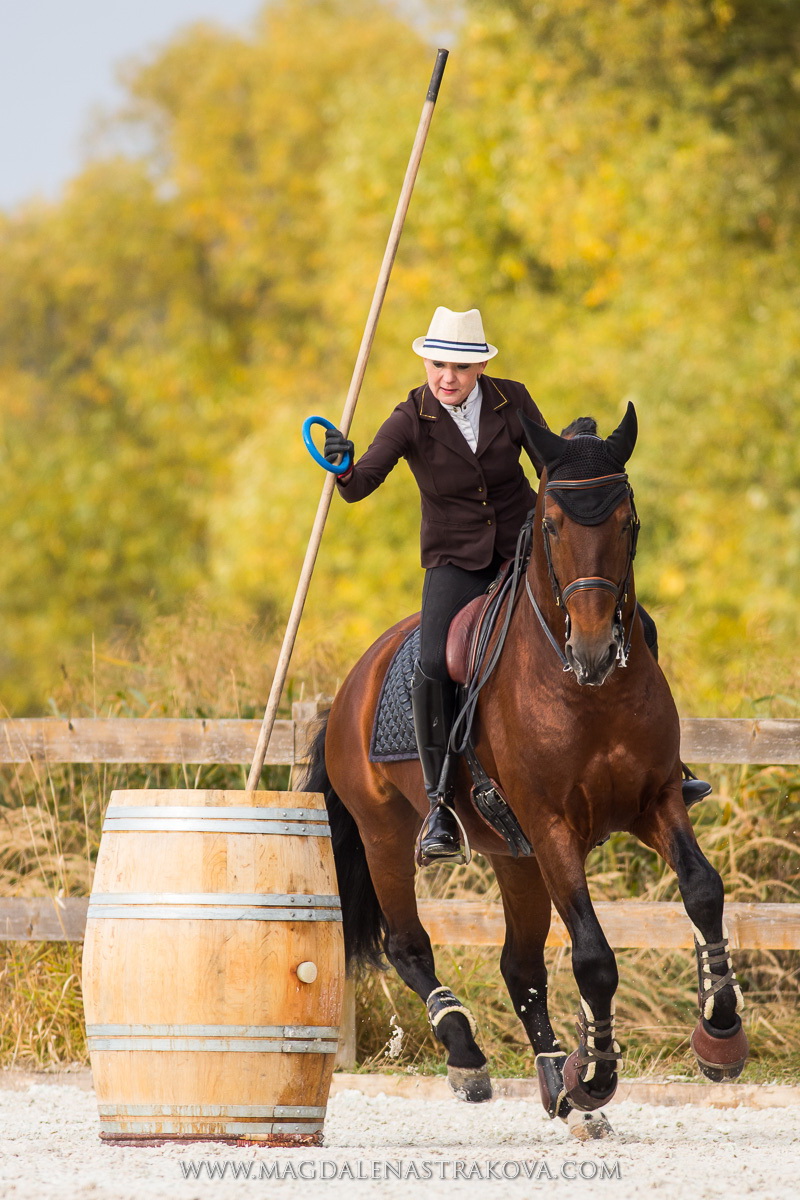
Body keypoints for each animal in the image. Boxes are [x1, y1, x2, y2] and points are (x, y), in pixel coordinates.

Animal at [303, 405, 748, 1132]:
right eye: (551, 524)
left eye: (628, 520)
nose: (593, 648)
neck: (588, 692)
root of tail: (352, 685)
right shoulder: (552, 825)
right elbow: (593, 955)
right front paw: (597, 1074)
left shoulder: (656, 801)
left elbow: (703, 890)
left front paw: (721, 1035)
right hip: (387, 834)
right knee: (408, 944)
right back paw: (469, 1056)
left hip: (513, 856)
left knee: (519, 966)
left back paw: (556, 1084)